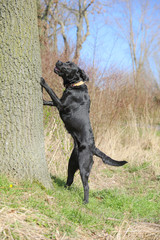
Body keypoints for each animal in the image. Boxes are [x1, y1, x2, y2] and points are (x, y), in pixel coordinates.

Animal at [40, 60, 127, 202]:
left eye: (69, 65)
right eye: (66, 62)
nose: (58, 61)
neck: (75, 85)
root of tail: (93, 147)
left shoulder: (62, 105)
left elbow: (51, 91)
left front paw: (42, 80)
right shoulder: (59, 102)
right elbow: (49, 100)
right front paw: (42, 100)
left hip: (84, 167)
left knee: (86, 186)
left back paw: (85, 201)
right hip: (71, 164)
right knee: (70, 179)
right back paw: (63, 190)